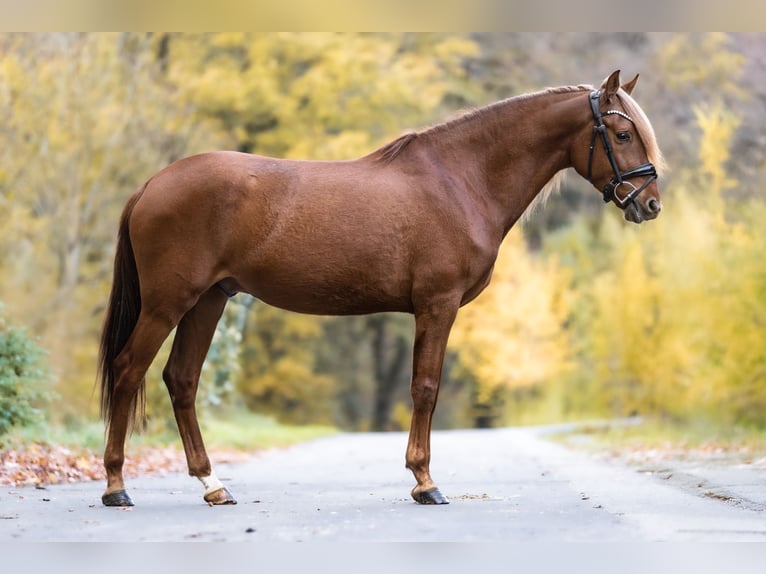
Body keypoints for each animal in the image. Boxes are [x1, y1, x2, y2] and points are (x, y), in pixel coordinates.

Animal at [98, 70, 665, 507]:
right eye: (621, 134)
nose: (650, 203)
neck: (461, 180)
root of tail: (152, 184)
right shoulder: (437, 305)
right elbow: (426, 387)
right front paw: (426, 483)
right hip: (168, 304)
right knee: (129, 371)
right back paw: (116, 486)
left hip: (208, 301)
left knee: (182, 380)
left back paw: (212, 485)